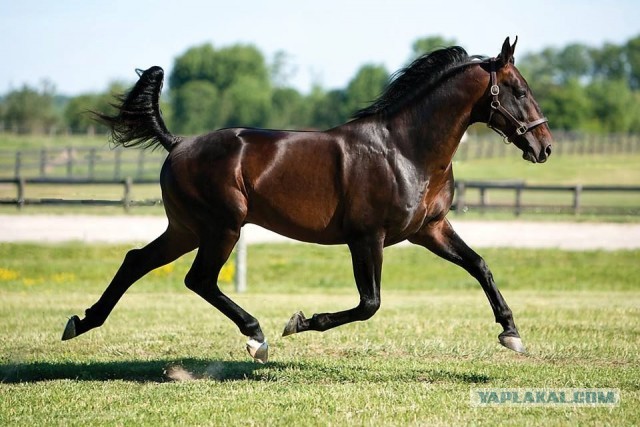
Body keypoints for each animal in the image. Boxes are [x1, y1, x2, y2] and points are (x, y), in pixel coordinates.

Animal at [62, 37, 552, 363]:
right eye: (520, 90)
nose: (544, 147)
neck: (405, 149)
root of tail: (178, 143)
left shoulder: (429, 230)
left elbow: (479, 265)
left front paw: (511, 333)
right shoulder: (367, 238)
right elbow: (369, 304)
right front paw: (298, 322)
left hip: (186, 229)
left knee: (136, 260)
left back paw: (82, 322)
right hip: (222, 227)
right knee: (198, 279)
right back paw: (257, 337)